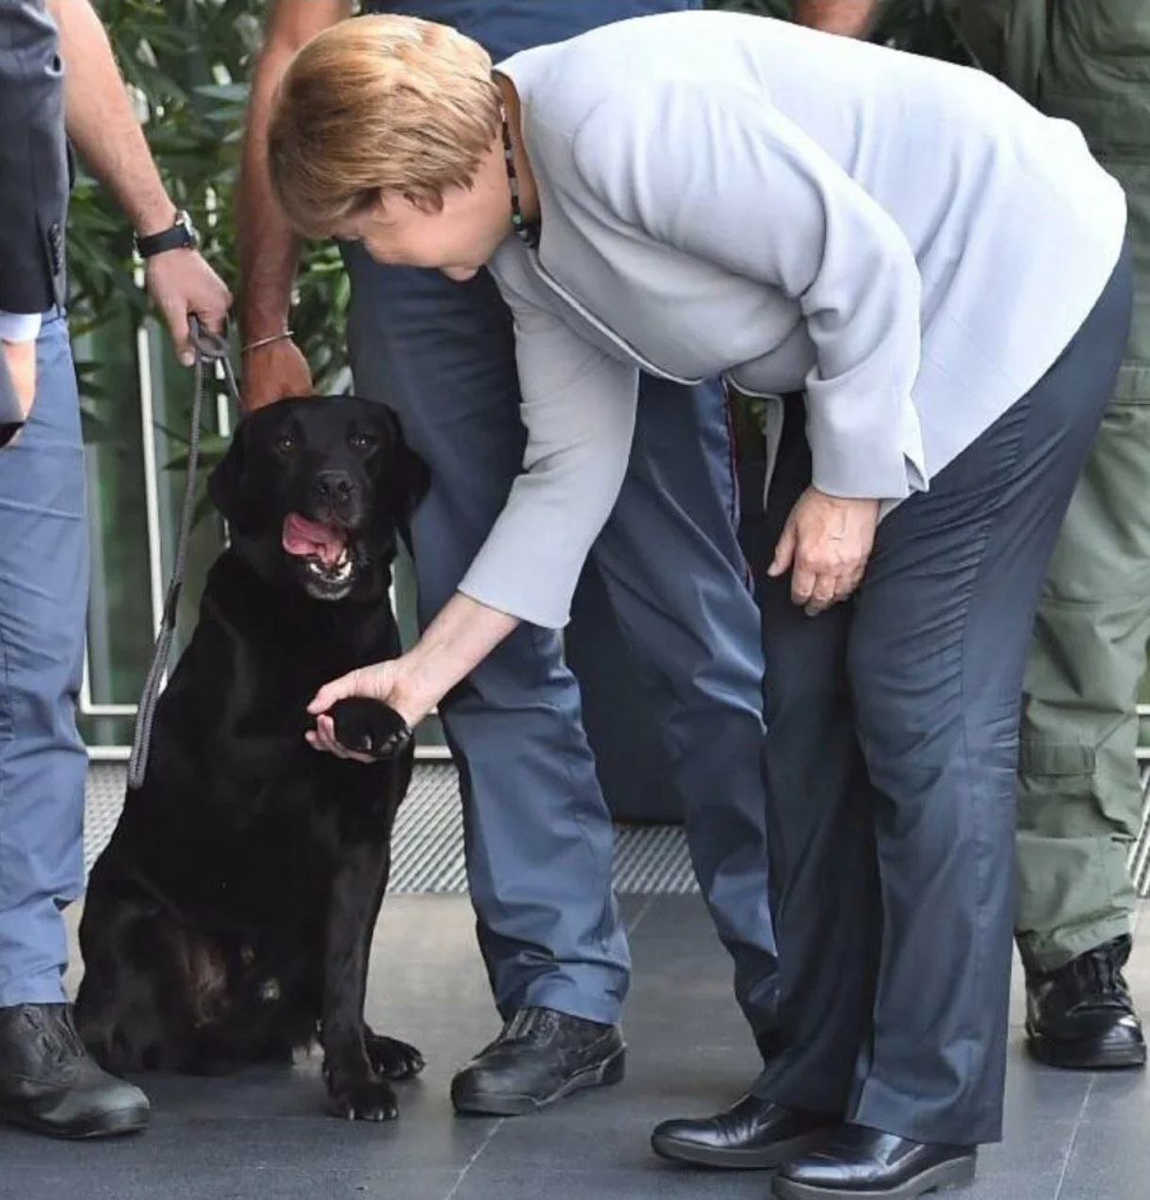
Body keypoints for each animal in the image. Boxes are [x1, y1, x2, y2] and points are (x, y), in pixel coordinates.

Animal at [76, 398, 429, 1118]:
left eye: (364, 441)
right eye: (286, 444)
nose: (334, 485)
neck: (321, 620)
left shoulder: (363, 848)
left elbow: (347, 976)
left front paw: (356, 1075)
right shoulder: (240, 770)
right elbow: (306, 709)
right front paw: (364, 713)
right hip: (128, 916)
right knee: (114, 1030)